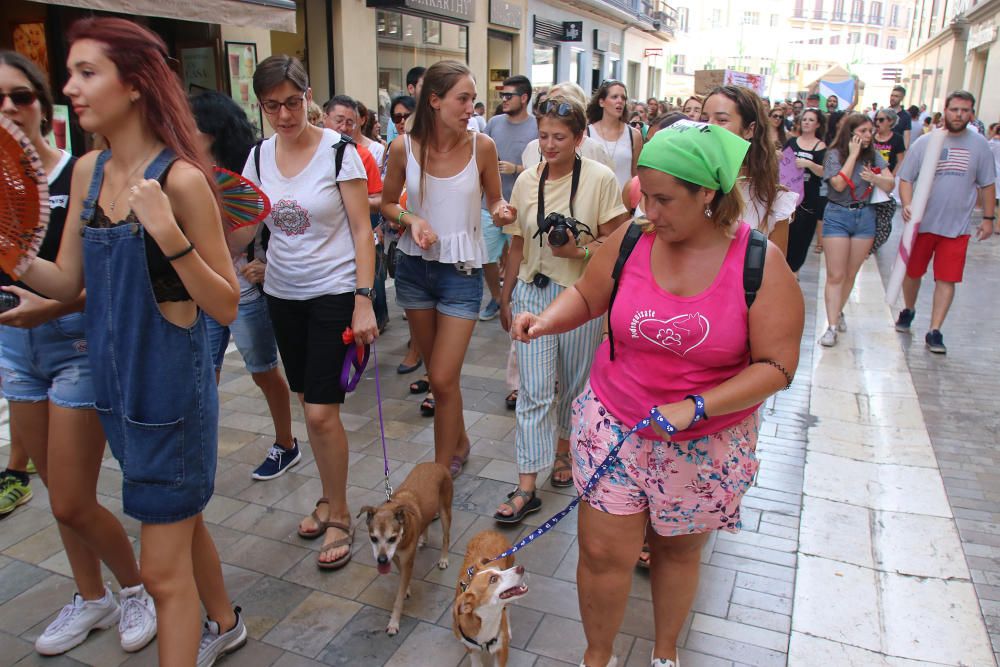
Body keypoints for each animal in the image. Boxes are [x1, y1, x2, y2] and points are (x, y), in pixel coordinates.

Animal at [360, 462, 454, 636]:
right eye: (373, 538)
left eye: (392, 538)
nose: (381, 560)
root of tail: (437, 464)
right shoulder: (397, 558)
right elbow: (402, 575)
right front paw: (407, 589)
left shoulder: (407, 560)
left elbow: (398, 597)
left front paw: (394, 623)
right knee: (426, 522)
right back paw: (423, 539)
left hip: (445, 510)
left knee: (446, 537)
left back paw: (443, 559)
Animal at [456, 532, 532, 667]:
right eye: (493, 579)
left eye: (501, 570)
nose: (521, 568)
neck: (487, 618)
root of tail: (490, 532)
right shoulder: (470, 648)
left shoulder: (502, 650)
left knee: (507, 608)